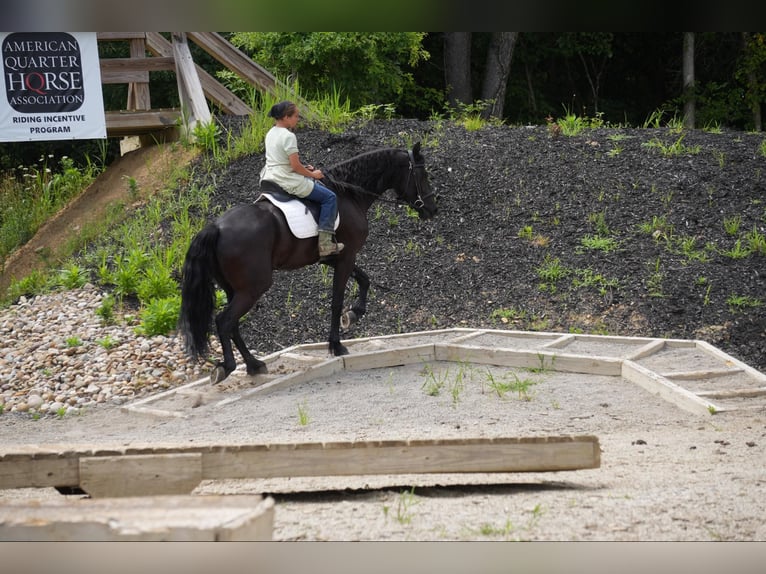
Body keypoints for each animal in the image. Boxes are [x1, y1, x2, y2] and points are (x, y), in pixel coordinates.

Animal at [176, 142, 436, 384]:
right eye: (422, 174)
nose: (432, 209)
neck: (348, 195)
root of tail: (216, 227)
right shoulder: (347, 256)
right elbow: (337, 301)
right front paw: (336, 344)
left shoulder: (335, 258)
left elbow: (364, 279)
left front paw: (354, 314)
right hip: (253, 288)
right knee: (225, 322)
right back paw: (228, 367)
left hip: (235, 289)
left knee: (233, 324)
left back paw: (253, 364)